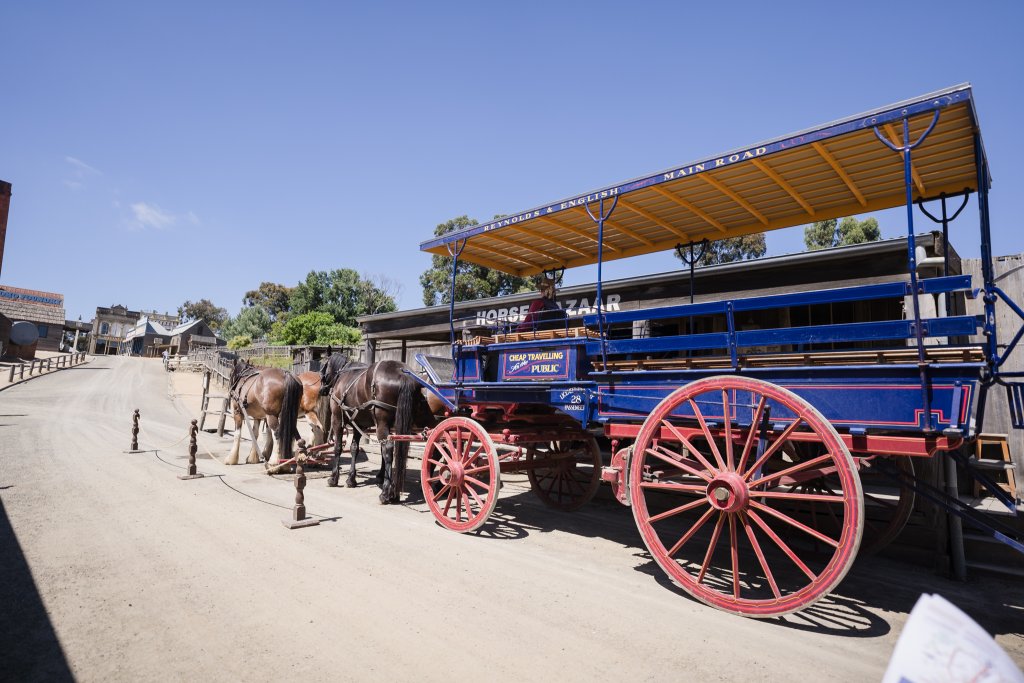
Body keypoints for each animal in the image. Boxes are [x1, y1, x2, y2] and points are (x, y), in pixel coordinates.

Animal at [317, 356, 434, 505]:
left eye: (323, 369)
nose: (321, 390)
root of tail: (404, 374)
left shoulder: (337, 420)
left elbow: (338, 448)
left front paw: (333, 478)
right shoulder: (359, 424)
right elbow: (354, 448)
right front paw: (351, 479)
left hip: (382, 423)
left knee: (388, 449)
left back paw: (386, 493)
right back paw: (394, 492)